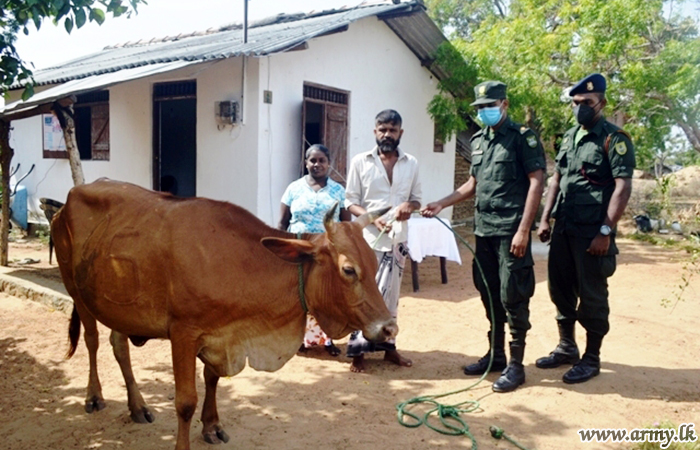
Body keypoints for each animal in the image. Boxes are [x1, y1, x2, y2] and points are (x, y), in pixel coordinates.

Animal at [52, 178, 396, 450]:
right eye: (348, 269)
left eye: (374, 263)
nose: (389, 329)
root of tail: (67, 199)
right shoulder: (184, 333)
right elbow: (185, 402)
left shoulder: (221, 335)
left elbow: (213, 378)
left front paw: (212, 426)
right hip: (76, 290)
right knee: (92, 340)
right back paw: (93, 397)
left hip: (118, 305)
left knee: (119, 346)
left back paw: (137, 407)